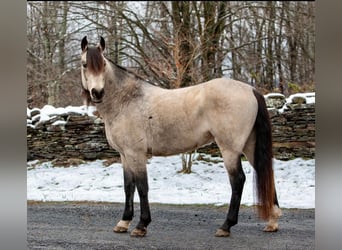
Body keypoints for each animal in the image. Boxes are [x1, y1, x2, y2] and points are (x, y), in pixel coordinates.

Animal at [79, 36, 280, 237]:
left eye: (103, 64)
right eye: (84, 64)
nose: (97, 92)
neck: (126, 100)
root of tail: (251, 90)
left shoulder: (136, 154)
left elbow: (142, 187)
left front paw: (141, 225)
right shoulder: (124, 155)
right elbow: (128, 187)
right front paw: (123, 222)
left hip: (230, 149)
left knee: (238, 180)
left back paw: (226, 226)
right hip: (249, 146)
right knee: (264, 172)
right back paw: (272, 221)